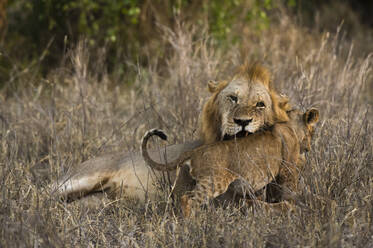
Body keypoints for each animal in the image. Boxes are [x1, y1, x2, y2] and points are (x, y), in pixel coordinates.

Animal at [141, 107, 318, 216]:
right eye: (313, 131)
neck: (290, 125)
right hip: (213, 182)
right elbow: (290, 191)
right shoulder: (288, 170)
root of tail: (194, 151)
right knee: (189, 200)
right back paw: (190, 224)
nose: (309, 147)